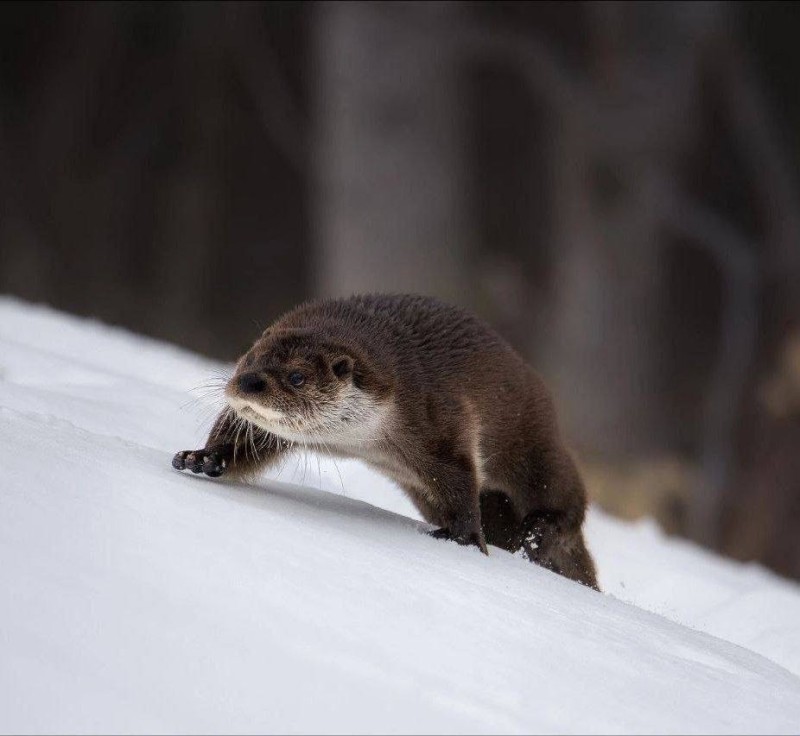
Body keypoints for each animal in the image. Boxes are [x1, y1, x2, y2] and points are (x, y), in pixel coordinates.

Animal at [175, 290, 600, 588]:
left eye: (296, 377)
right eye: (250, 357)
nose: (248, 382)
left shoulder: (435, 415)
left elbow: (460, 475)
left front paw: (462, 538)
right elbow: (243, 439)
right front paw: (204, 457)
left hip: (534, 442)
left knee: (565, 496)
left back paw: (539, 530)